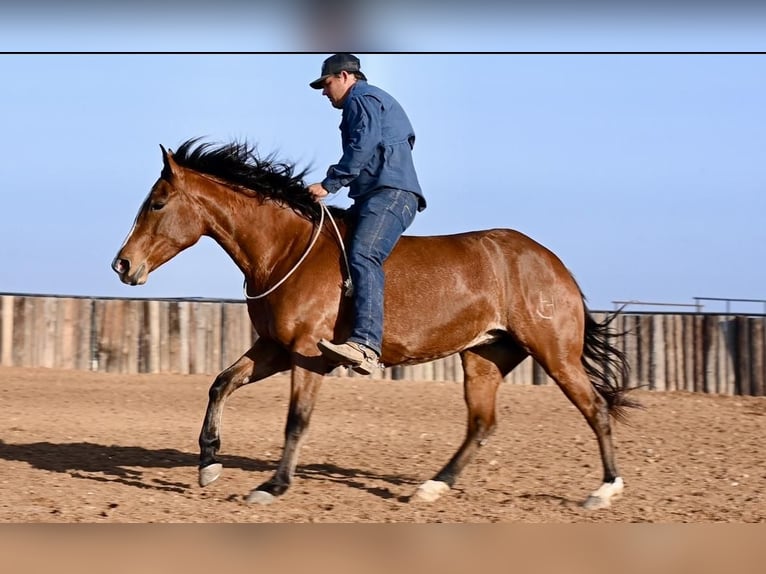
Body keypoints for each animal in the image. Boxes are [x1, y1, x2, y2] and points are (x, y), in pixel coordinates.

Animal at [111, 137, 640, 510]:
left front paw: (274, 485)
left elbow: (296, 420)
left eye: (157, 202)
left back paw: (605, 490)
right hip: (484, 356)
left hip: (554, 353)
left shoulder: (307, 355)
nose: (122, 264)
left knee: (595, 409)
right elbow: (220, 384)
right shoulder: (275, 349)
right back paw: (433, 487)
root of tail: (552, 263)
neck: (287, 249)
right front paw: (209, 463)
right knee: (482, 423)